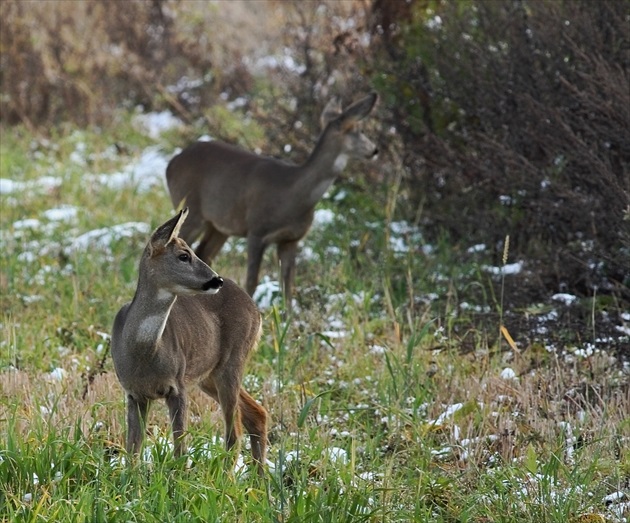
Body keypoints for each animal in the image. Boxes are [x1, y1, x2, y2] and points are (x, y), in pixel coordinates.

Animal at [111, 208, 270, 474]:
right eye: (184, 256)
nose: (216, 280)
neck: (143, 352)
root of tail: (255, 310)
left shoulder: (178, 386)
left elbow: (180, 448)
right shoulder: (134, 393)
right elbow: (133, 451)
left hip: (233, 361)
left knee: (234, 433)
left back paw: (228, 480)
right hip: (209, 376)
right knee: (256, 414)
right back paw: (259, 481)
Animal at [165, 93, 378, 308]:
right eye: (359, 129)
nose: (375, 150)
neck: (293, 196)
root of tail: (171, 163)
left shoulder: (291, 239)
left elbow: (287, 286)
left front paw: (288, 316)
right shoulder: (256, 230)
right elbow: (251, 281)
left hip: (219, 226)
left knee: (205, 253)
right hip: (191, 210)